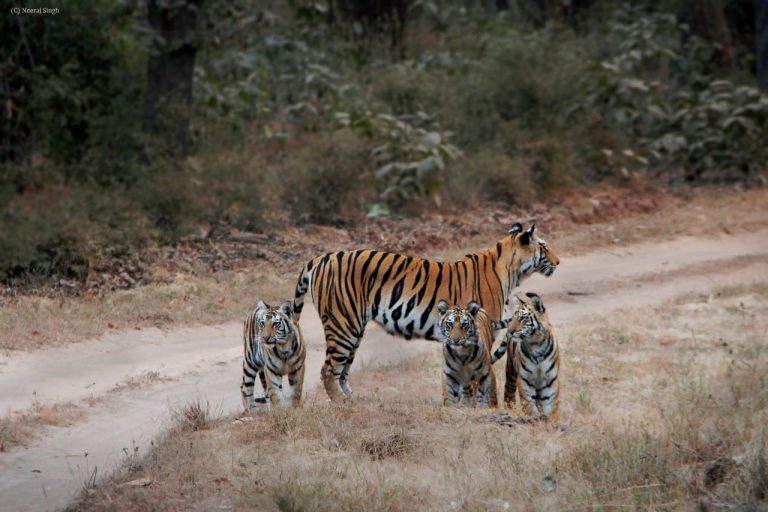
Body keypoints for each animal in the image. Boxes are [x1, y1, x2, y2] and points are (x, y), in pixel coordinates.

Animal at [292, 222, 559, 401]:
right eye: (544, 246)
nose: (558, 262)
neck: (512, 270)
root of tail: (320, 258)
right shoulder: (482, 330)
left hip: (353, 329)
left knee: (342, 372)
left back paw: (353, 400)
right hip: (343, 324)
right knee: (328, 371)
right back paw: (342, 404)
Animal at [495, 292, 560, 422]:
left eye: (523, 318)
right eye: (513, 318)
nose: (509, 331)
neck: (536, 345)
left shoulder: (551, 379)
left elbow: (551, 405)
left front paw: (549, 420)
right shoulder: (525, 379)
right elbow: (528, 403)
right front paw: (533, 418)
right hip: (511, 371)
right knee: (509, 391)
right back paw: (510, 410)